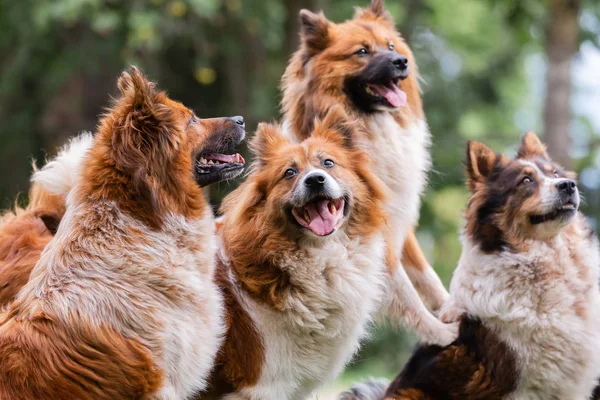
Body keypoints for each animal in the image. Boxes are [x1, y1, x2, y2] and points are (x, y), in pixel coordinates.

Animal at [282, 0, 454, 346]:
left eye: (391, 47)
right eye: (362, 51)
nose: (402, 62)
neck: (369, 126)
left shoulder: (400, 223)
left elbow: (426, 275)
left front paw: (451, 307)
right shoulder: (379, 237)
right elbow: (406, 292)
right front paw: (440, 332)